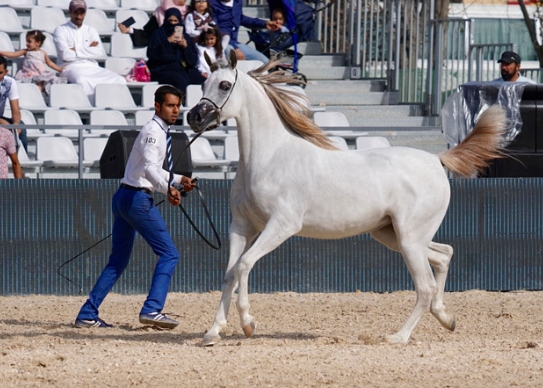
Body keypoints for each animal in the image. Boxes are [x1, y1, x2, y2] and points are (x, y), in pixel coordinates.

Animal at [188, 51, 510, 346]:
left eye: (225, 85)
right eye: (203, 83)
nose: (194, 117)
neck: (269, 157)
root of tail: (436, 159)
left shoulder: (281, 225)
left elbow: (244, 265)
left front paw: (248, 323)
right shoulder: (242, 226)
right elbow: (230, 273)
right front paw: (212, 332)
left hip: (409, 239)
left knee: (425, 285)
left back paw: (398, 336)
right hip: (393, 235)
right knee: (444, 255)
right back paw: (446, 318)